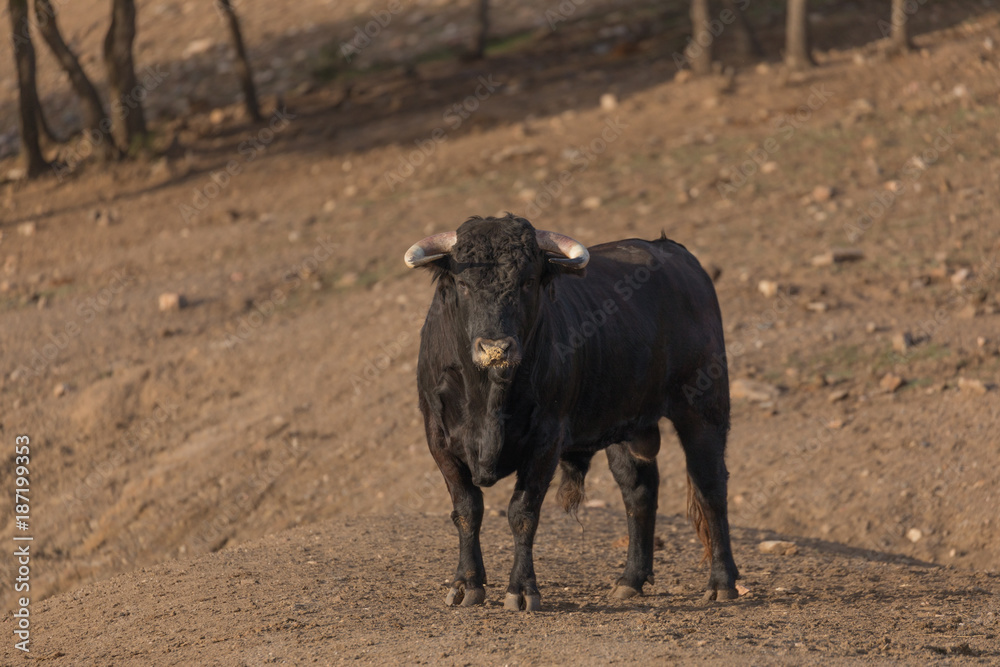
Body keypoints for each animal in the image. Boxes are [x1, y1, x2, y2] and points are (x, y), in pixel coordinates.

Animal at [405, 213, 739, 611]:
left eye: (527, 281)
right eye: (463, 283)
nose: (496, 348)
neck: (488, 395)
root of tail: (672, 252)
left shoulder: (545, 441)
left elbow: (522, 513)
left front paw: (522, 590)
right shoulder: (439, 440)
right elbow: (468, 509)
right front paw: (466, 584)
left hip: (704, 409)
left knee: (710, 487)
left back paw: (722, 583)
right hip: (625, 425)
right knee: (639, 491)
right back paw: (630, 580)